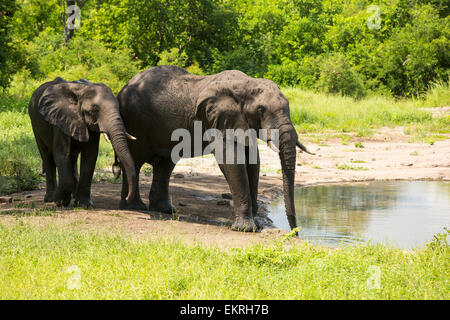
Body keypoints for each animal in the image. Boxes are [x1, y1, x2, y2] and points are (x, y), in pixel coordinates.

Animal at [28, 77, 137, 208]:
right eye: (95, 109)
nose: (127, 198)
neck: (82, 90)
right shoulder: (60, 119)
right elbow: (61, 152)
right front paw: (60, 202)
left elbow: (90, 155)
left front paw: (85, 205)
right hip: (35, 124)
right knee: (47, 157)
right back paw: (50, 199)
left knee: (72, 158)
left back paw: (73, 197)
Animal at [117, 65, 312, 230]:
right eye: (261, 110)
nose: (295, 233)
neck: (246, 83)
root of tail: (123, 88)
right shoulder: (218, 119)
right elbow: (232, 160)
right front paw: (246, 229)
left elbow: (253, 162)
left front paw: (256, 224)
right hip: (136, 123)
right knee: (135, 161)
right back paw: (135, 207)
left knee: (165, 165)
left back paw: (165, 210)